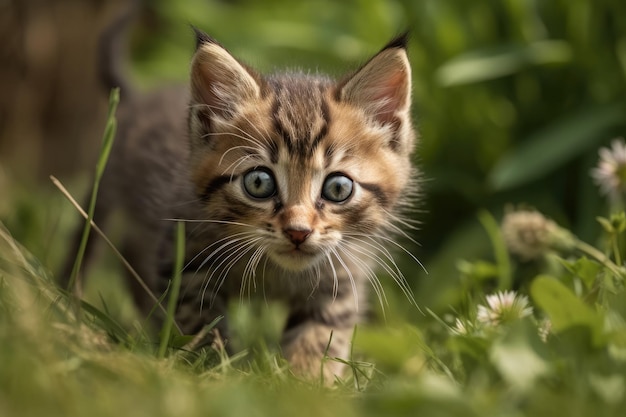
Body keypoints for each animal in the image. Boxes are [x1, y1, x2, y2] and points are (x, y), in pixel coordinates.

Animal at [66, 22, 416, 380]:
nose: (298, 232)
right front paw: (214, 372)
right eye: (259, 182)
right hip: (103, 194)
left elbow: (320, 334)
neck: (274, 270)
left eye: (338, 188)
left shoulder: (341, 274)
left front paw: (307, 379)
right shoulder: (185, 257)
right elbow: (200, 325)